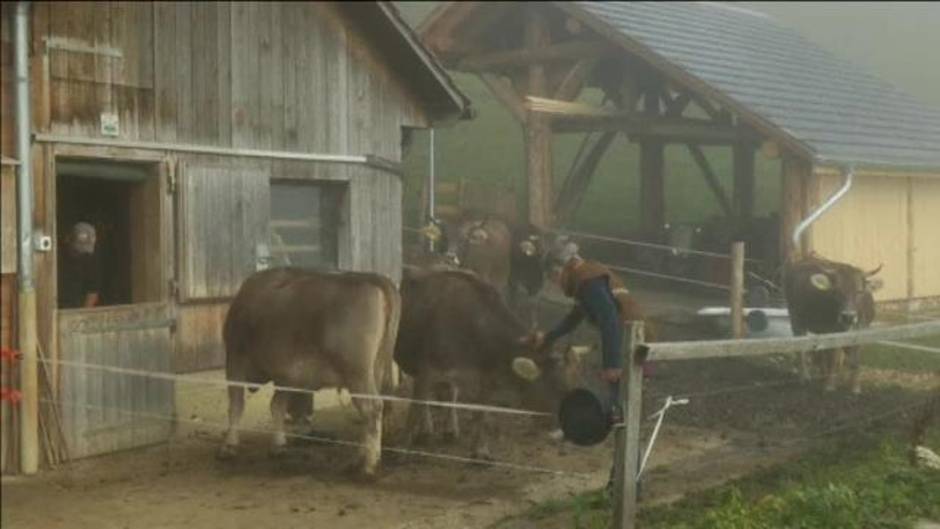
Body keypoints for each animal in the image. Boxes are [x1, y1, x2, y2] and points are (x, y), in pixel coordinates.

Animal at [218, 266, 400, 476]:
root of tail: (372, 278)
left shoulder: (235, 359)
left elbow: (236, 405)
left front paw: (229, 446)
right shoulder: (287, 375)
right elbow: (277, 406)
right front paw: (278, 445)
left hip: (357, 374)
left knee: (372, 408)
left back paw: (368, 466)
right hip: (376, 370)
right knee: (373, 411)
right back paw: (359, 459)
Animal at [784, 254, 880, 394]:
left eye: (859, 291)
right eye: (836, 291)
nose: (848, 316)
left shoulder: (862, 330)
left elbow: (854, 358)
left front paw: (855, 386)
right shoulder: (833, 330)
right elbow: (834, 357)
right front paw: (830, 385)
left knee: (822, 352)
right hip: (796, 319)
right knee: (802, 349)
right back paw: (805, 377)